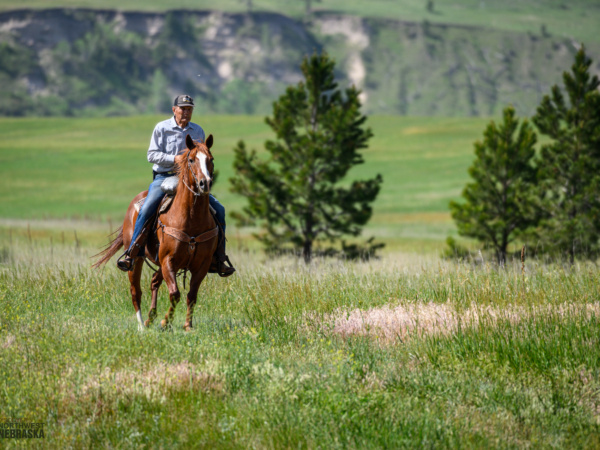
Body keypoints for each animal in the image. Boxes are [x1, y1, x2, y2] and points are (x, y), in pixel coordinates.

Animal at [92, 134, 217, 330]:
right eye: (191, 160)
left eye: (210, 159)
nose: (205, 183)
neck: (191, 218)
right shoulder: (168, 260)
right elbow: (175, 293)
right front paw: (165, 322)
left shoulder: (201, 265)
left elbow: (191, 295)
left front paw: (187, 325)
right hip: (136, 259)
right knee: (135, 290)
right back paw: (142, 325)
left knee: (154, 281)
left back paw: (150, 318)